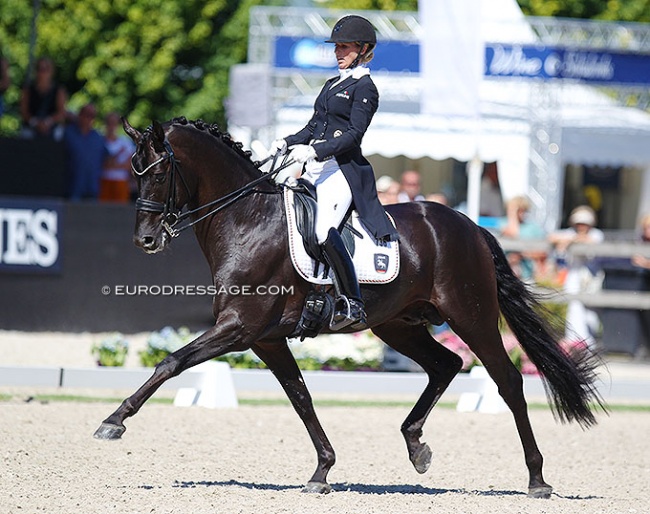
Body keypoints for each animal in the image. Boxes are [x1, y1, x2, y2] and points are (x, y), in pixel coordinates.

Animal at [92, 117, 604, 496]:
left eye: (160, 172)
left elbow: (170, 362)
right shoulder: (266, 339)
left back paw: (537, 479)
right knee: (446, 364)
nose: (145, 240)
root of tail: (469, 225)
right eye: (133, 170)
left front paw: (113, 422)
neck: (248, 219)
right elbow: (300, 396)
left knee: (508, 380)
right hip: (398, 325)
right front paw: (322, 471)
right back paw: (417, 447)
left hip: (471, 316)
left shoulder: (239, 328)